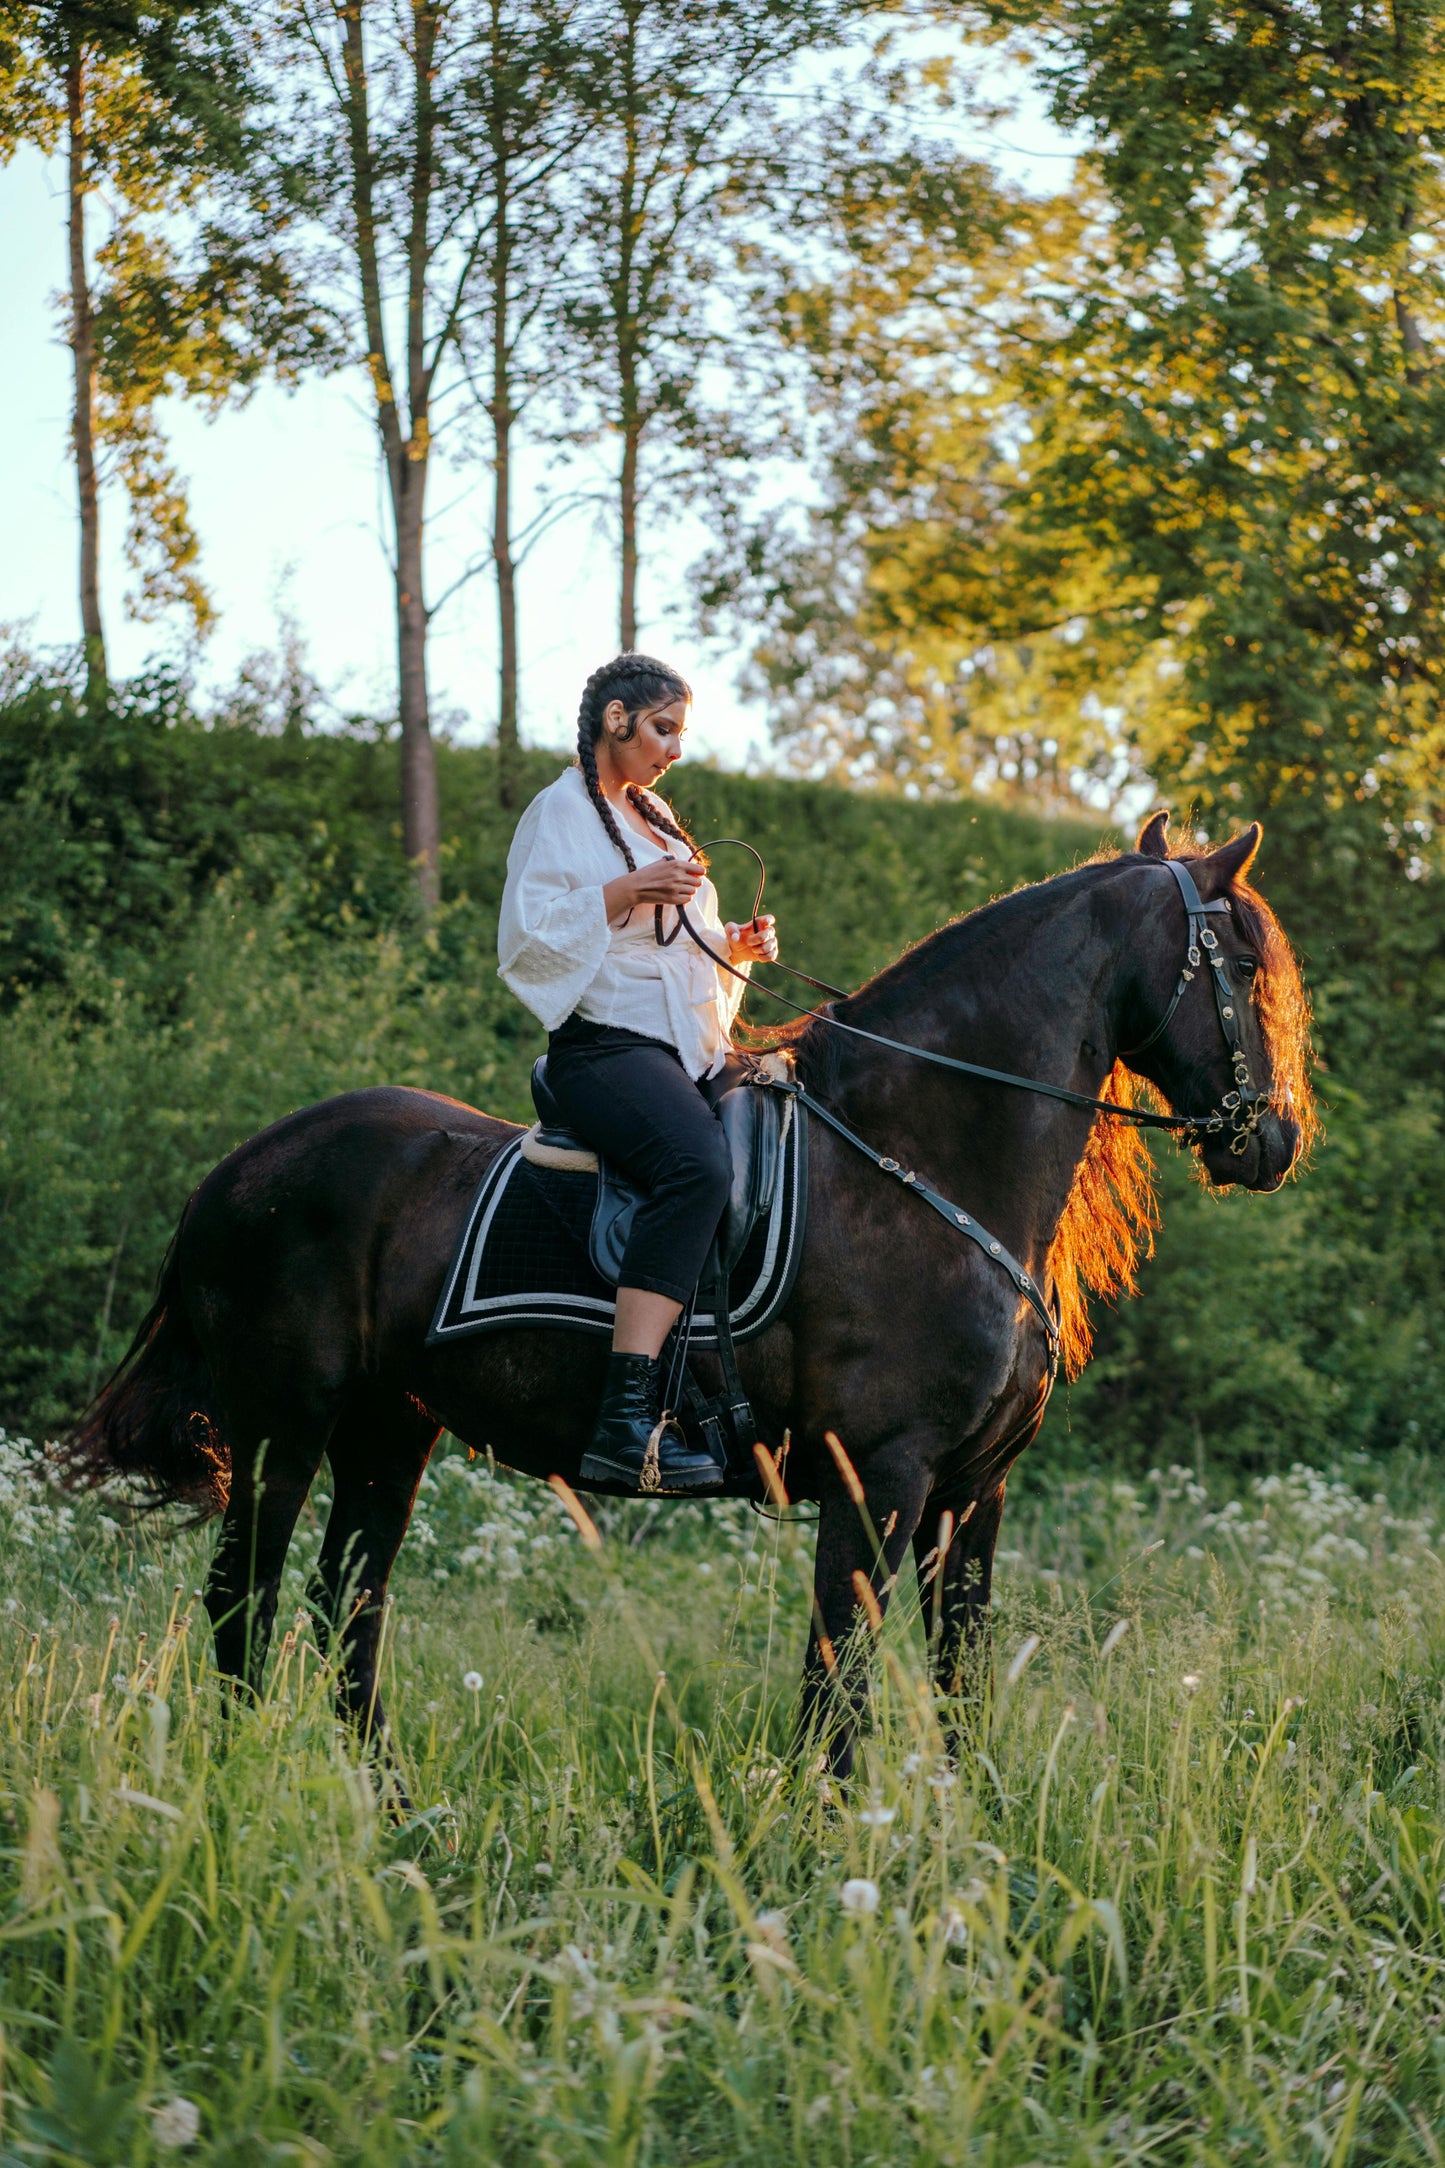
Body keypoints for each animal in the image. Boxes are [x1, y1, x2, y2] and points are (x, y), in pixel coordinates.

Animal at [64, 812, 1314, 1776]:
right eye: (1242, 965)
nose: (1274, 1140)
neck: (918, 1158)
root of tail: (239, 1168)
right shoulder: (876, 1477)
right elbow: (837, 1692)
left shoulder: (971, 1494)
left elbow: (953, 1689)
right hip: (282, 1426)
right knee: (246, 1601)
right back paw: (244, 1787)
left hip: (386, 1430)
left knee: (346, 1611)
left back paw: (389, 1810)